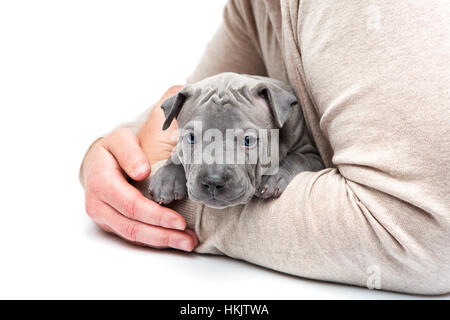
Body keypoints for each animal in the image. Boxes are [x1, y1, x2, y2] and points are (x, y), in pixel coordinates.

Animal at [137, 72, 324, 209]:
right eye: (191, 138)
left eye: (248, 140)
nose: (213, 181)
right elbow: (177, 155)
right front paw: (166, 180)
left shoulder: (313, 156)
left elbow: (299, 158)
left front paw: (274, 178)